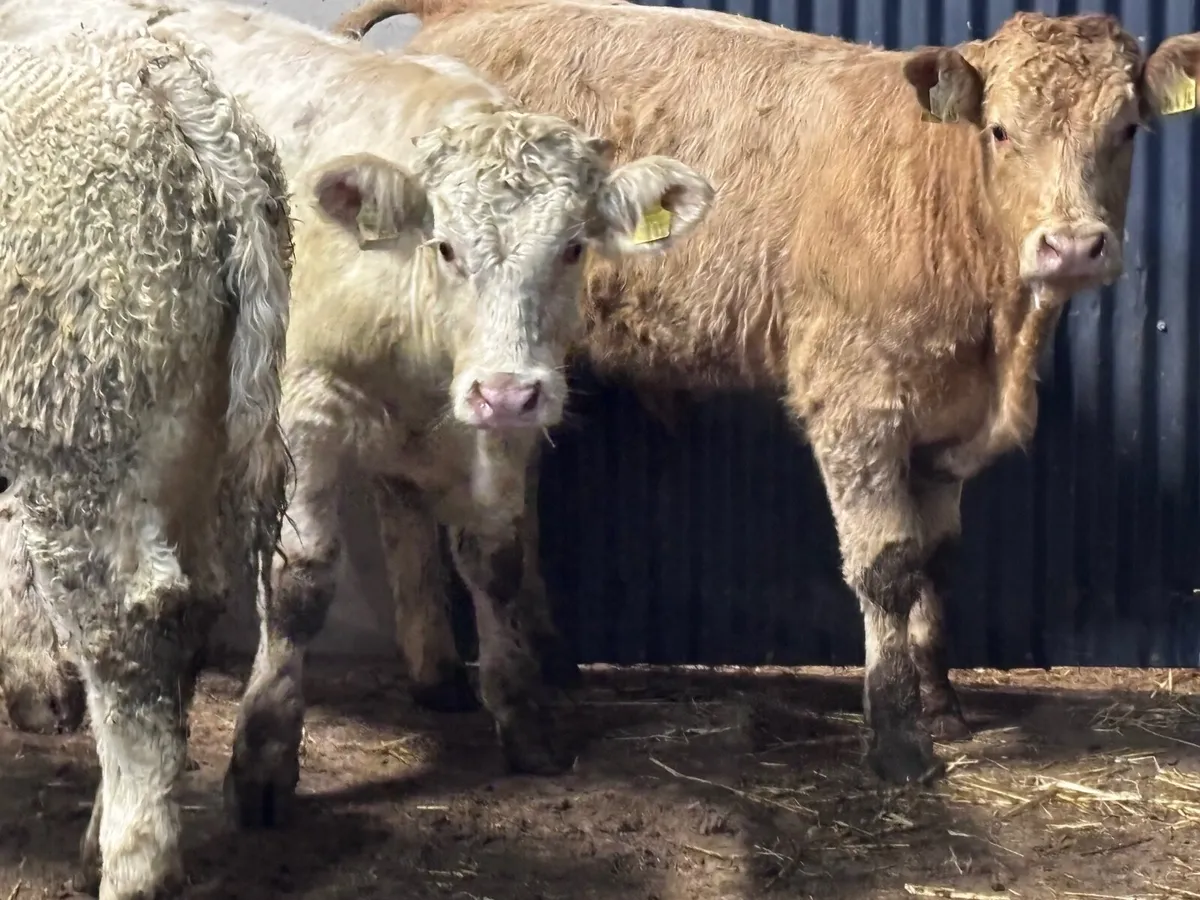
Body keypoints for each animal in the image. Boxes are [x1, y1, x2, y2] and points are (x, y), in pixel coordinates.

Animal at [330, 0, 1200, 784]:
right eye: (1001, 131)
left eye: (1126, 130)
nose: (1073, 246)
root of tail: (457, 13)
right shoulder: (857, 402)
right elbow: (887, 566)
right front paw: (897, 739)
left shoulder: (945, 422)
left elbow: (938, 560)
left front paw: (942, 703)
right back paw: (450, 674)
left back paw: (519, 663)